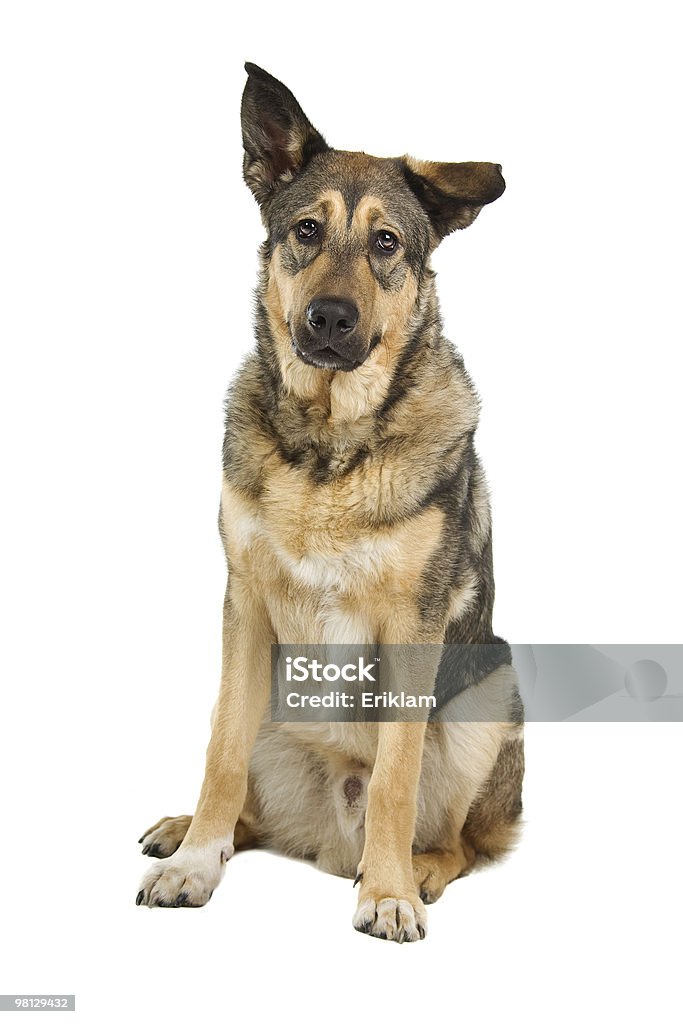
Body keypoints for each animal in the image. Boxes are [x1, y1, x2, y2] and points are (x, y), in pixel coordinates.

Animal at [136, 61, 528, 942]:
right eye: (306, 231)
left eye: (386, 243)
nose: (328, 318)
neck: (327, 444)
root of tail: (325, 833)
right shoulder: (244, 609)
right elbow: (218, 757)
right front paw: (195, 864)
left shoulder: (412, 631)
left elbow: (394, 778)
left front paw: (386, 892)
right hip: (267, 708)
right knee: (244, 793)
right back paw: (190, 831)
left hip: (491, 695)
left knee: (457, 838)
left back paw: (417, 869)